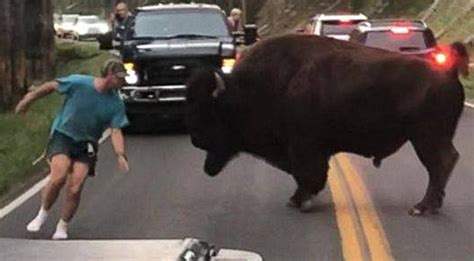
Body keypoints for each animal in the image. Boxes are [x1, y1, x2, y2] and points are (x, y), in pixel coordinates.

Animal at [184, 34, 466, 213]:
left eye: (212, 111)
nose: (196, 140)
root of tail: (448, 72)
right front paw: (298, 199)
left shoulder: (303, 147)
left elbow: (307, 174)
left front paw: (299, 201)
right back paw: (432, 204)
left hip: (426, 137)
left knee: (441, 163)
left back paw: (422, 207)